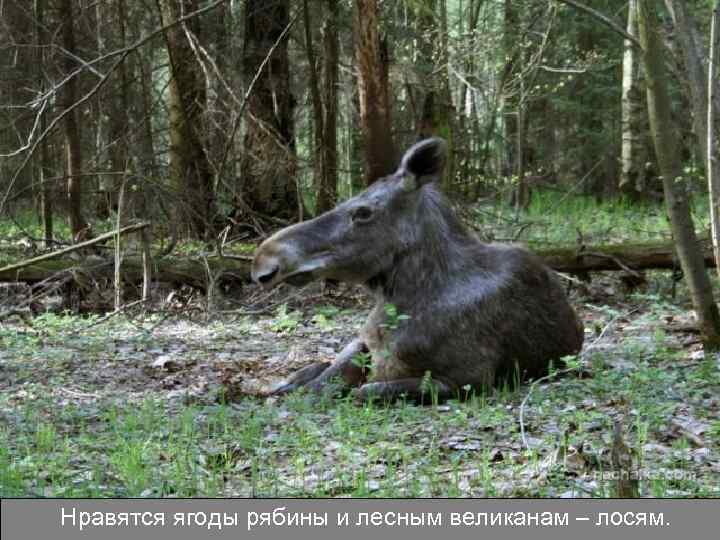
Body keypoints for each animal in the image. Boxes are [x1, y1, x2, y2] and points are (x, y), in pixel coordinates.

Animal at [250, 138, 584, 400]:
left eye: (363, 212)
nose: (264, 260)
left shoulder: (470, 380)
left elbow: (364, 391)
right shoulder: (365, 344)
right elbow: (332, 377)